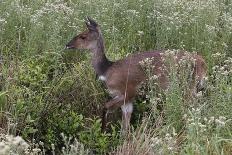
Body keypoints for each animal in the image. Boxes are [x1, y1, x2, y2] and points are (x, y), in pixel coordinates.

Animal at [65, 17, 207, 134]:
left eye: (83, 36)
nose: (67, 45)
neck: (106, 70)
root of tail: (202, 62)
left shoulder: (128, 92)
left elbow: (105, 106)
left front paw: (102, 131)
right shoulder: (127, 100)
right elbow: (125, 127)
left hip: (186, 86)